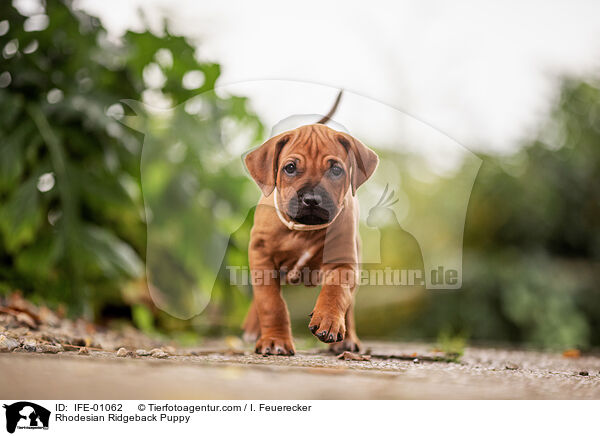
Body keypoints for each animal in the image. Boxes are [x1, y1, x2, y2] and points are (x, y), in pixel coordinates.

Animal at [241, 92, 378, 354]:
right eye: (290, 168)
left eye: (336, 170)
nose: (312, 200)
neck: (303, 230)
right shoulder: (261, 256)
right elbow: (270, 302)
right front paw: (275, 340)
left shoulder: (343, 262)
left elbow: (337, 292)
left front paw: (329, 320)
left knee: (350, 303)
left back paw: (348, 339)